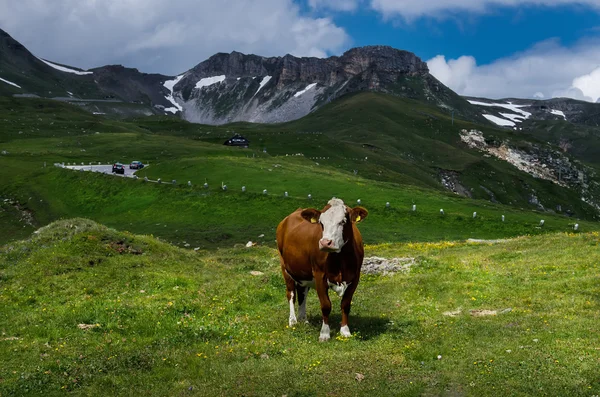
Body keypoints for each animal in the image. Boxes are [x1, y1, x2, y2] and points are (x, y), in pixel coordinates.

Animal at [276, 198, 368, 340]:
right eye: (321, 223)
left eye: (343, 221)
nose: (325, 242)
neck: (340, 260)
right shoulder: (319, 275)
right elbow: (325, 305)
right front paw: (324, 334)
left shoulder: (355, 276)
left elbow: (345, 304)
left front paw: (345, 331)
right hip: (285, 268)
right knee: (291, 294)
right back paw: (293, 321)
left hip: (303, 273)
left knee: (302, 293)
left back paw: (303, 319)